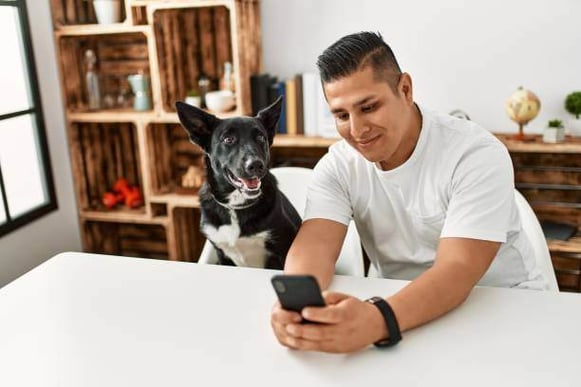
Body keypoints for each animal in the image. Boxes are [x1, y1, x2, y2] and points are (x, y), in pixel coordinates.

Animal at [174, 97, 302, 270]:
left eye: (261, 138)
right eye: (228, 139)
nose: (255, 165)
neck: (235, 206)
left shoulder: (283, 251)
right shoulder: (222, 256)